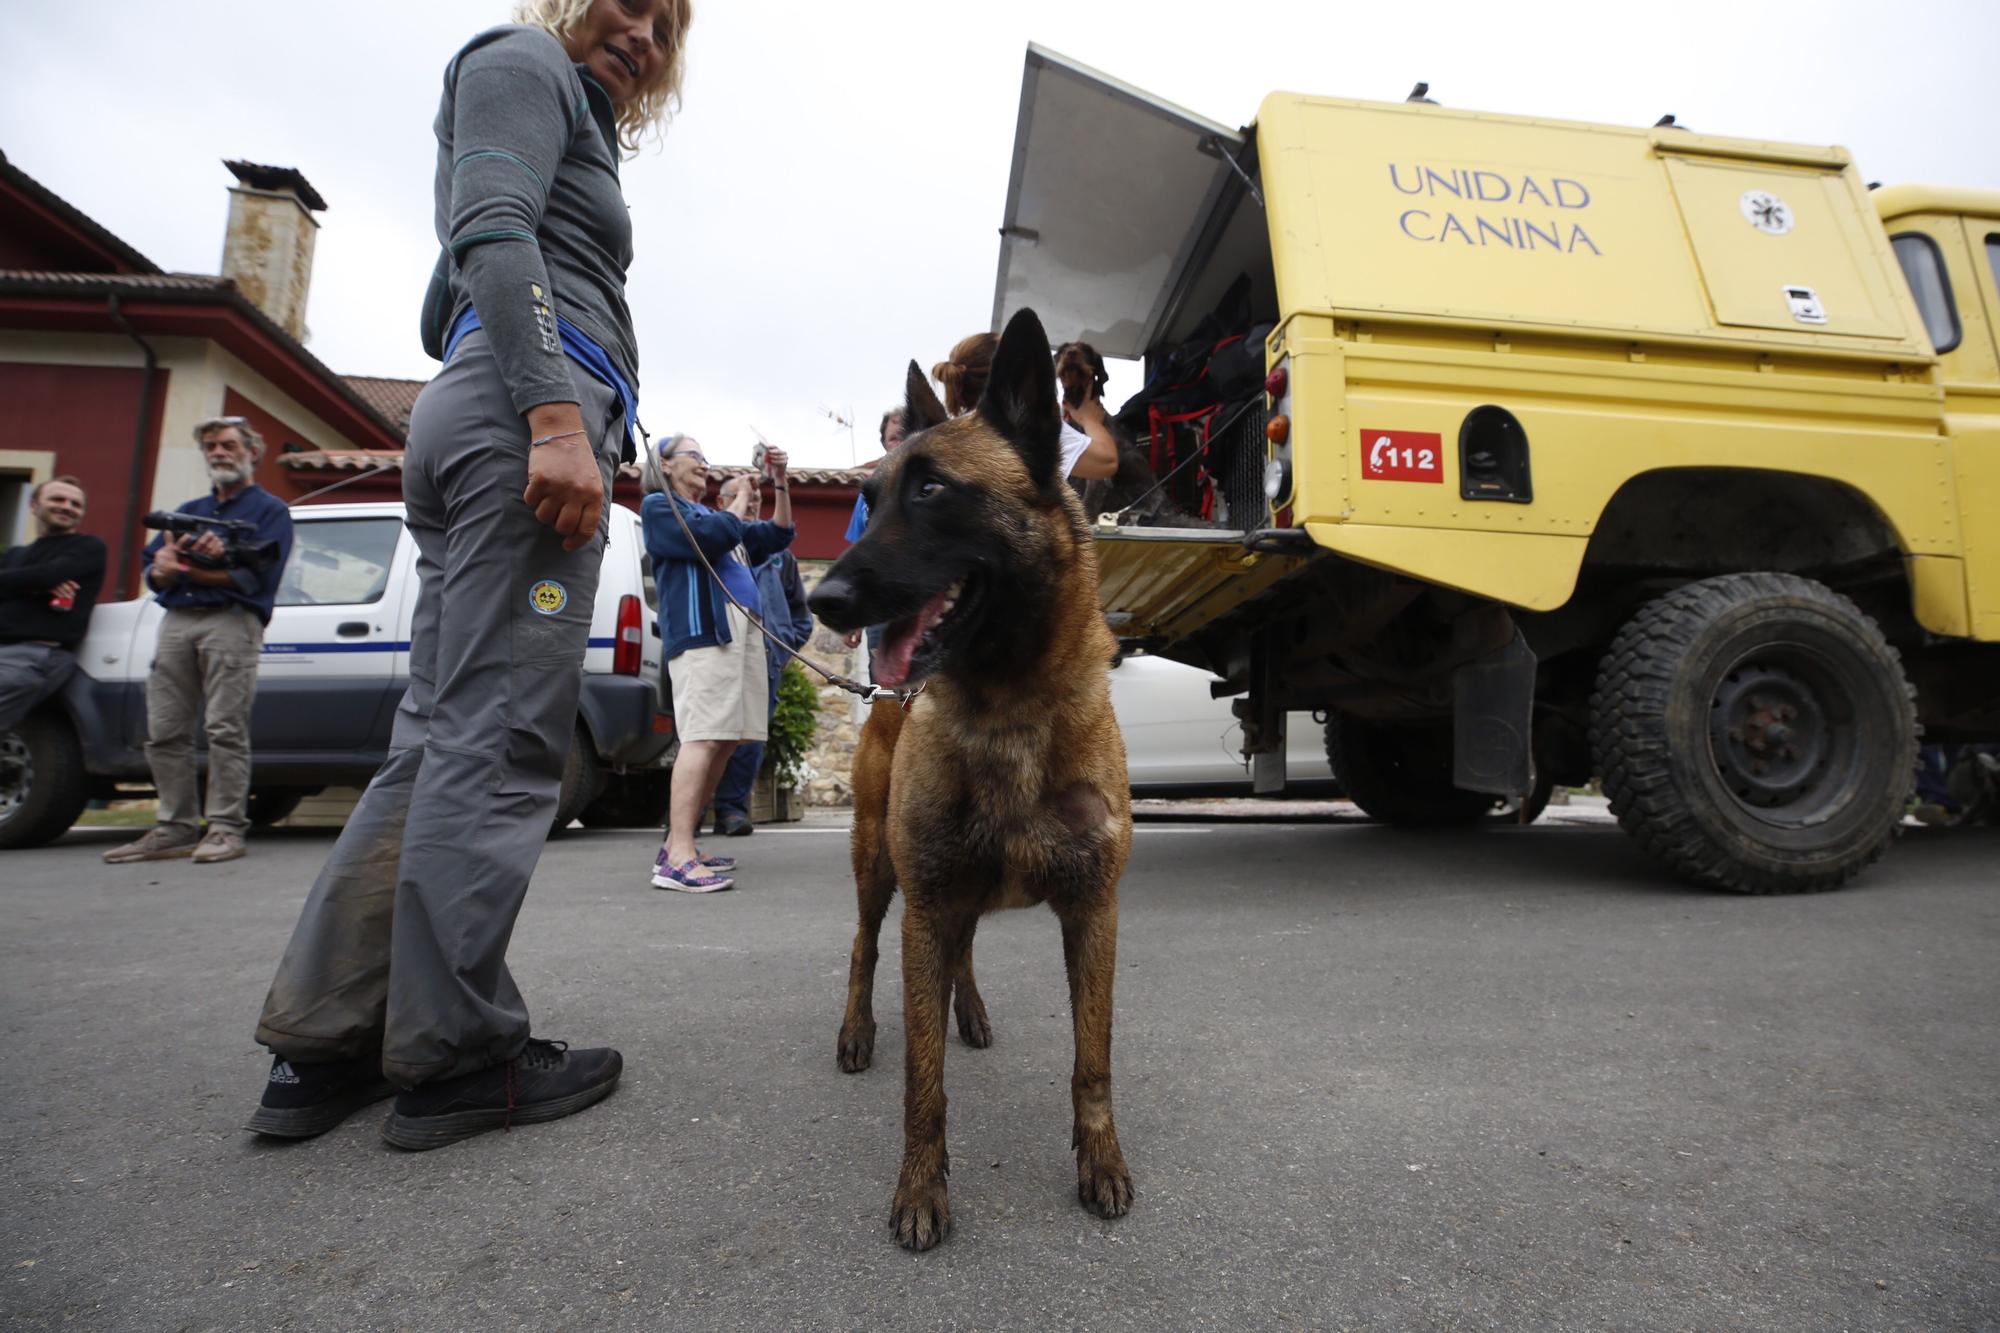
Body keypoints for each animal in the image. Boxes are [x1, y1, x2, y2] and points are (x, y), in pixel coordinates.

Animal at [804, 308, 1136, 1248]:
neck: (1009, 711)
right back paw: (857, 1030)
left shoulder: (1094, 912)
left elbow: (1092, 1062)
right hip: (882, 868)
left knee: (964, 953)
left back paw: (973, 1011)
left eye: (931, 491)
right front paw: (921, 1189)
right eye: (873, 497)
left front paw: (1101, 1161)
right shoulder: (927, 902)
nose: (822, 602)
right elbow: (924, 1083)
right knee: (865, 946)